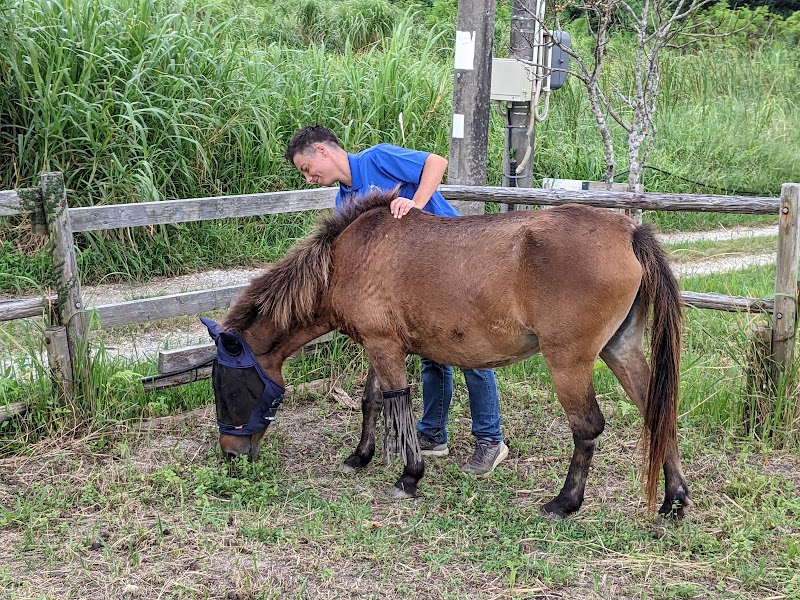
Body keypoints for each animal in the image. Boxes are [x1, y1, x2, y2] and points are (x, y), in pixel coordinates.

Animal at [209, 192, 692, 520]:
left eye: (228, 389)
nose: (231, 456)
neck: (347, 258)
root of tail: (629, 232)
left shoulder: (383, 347)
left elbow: (399, 404)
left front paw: (409, 477)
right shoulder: (380, 344)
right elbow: (372, 402)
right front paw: (360, 457)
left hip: (568, 363)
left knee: (588, 428)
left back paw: (565, 503)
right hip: (621, 350)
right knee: (657, 413)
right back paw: (674, 500)